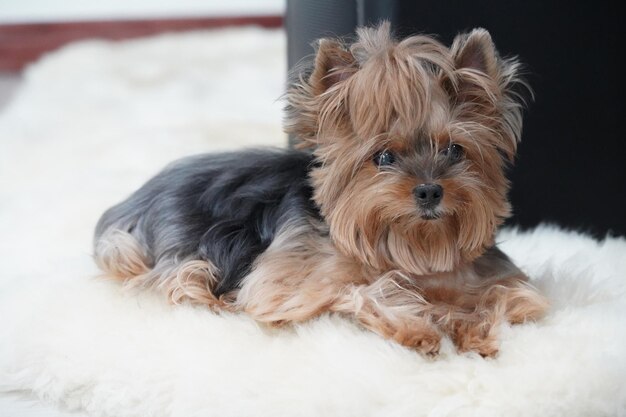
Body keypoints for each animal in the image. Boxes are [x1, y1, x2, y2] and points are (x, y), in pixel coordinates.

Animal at [92, 22, 544, 354]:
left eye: (454, 149)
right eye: (383, 157)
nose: (430, 191)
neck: (412, 246)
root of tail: (129, 203)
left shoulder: (505, 285)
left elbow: (515, 298)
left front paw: (474, 329)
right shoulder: (288, 287)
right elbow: (367, 288)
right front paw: (421, 326)